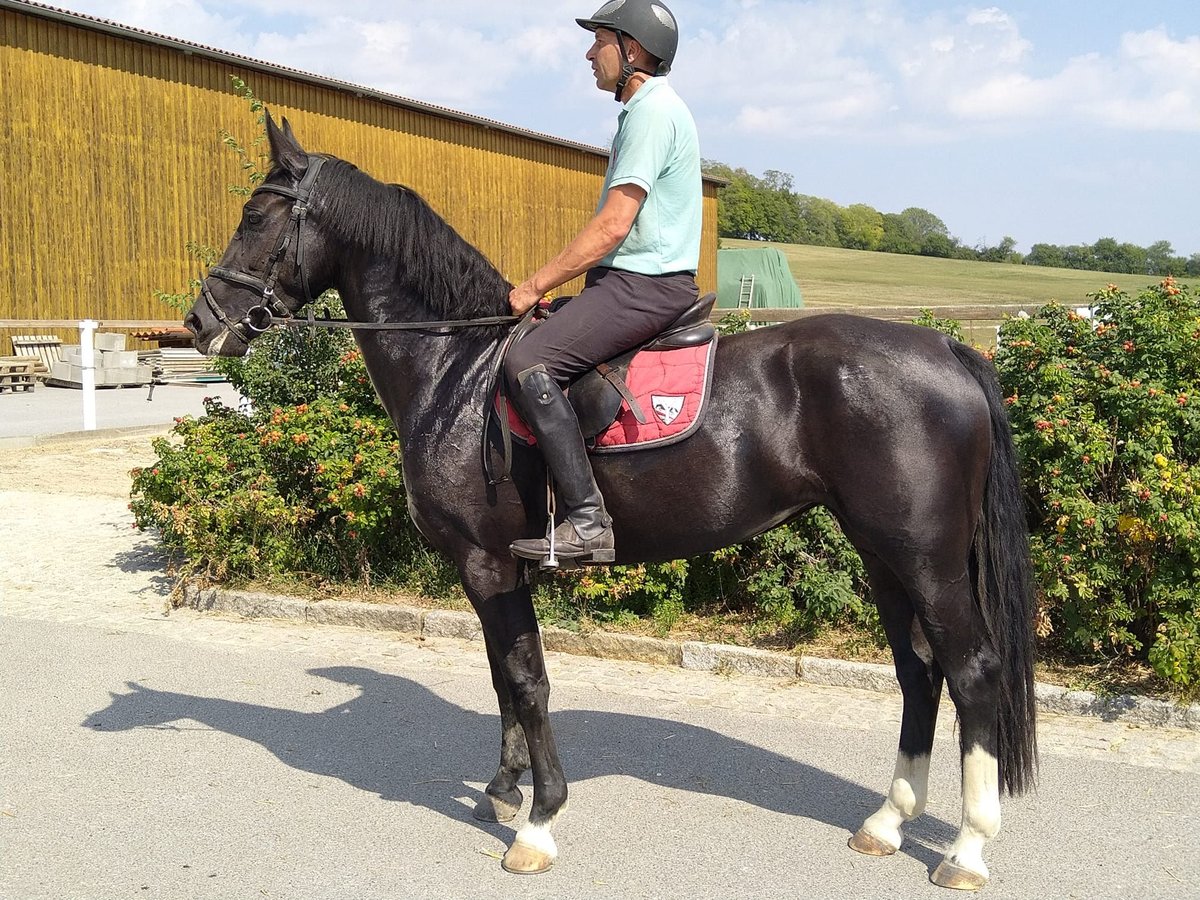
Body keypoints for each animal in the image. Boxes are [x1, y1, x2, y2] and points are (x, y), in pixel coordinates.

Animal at [182, 111, 1036, 888]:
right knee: (919, 672)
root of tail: (946, 348)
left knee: (971, 670)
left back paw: (966, 849)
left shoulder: (486, 564)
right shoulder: (493, 570)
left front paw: (539, 821)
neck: (457, 368)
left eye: (255, 216)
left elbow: (527, 677)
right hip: (882, 553)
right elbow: (502, 674)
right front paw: (504, 788)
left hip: (924, 558)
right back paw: (887, 822)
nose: (200, 323)